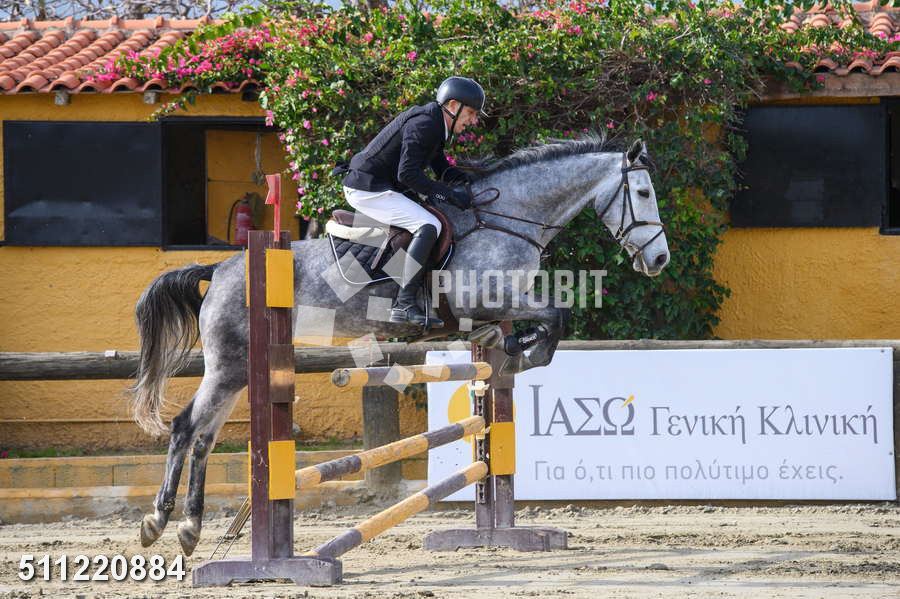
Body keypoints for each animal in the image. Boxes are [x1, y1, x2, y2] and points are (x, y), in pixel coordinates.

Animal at [131, 135, 670, 556]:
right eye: (643, 192)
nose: (660, 260)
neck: (503, 218)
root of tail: (219, 269)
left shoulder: (494, 304)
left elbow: (531, 326)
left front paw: (512, 345)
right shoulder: (485, 296)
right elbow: (556, 314)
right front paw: (530, 351)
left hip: (240, 369)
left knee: (205, 437)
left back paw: (189, 528)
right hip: (227, 365)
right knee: (185, 428)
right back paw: (158, 522)